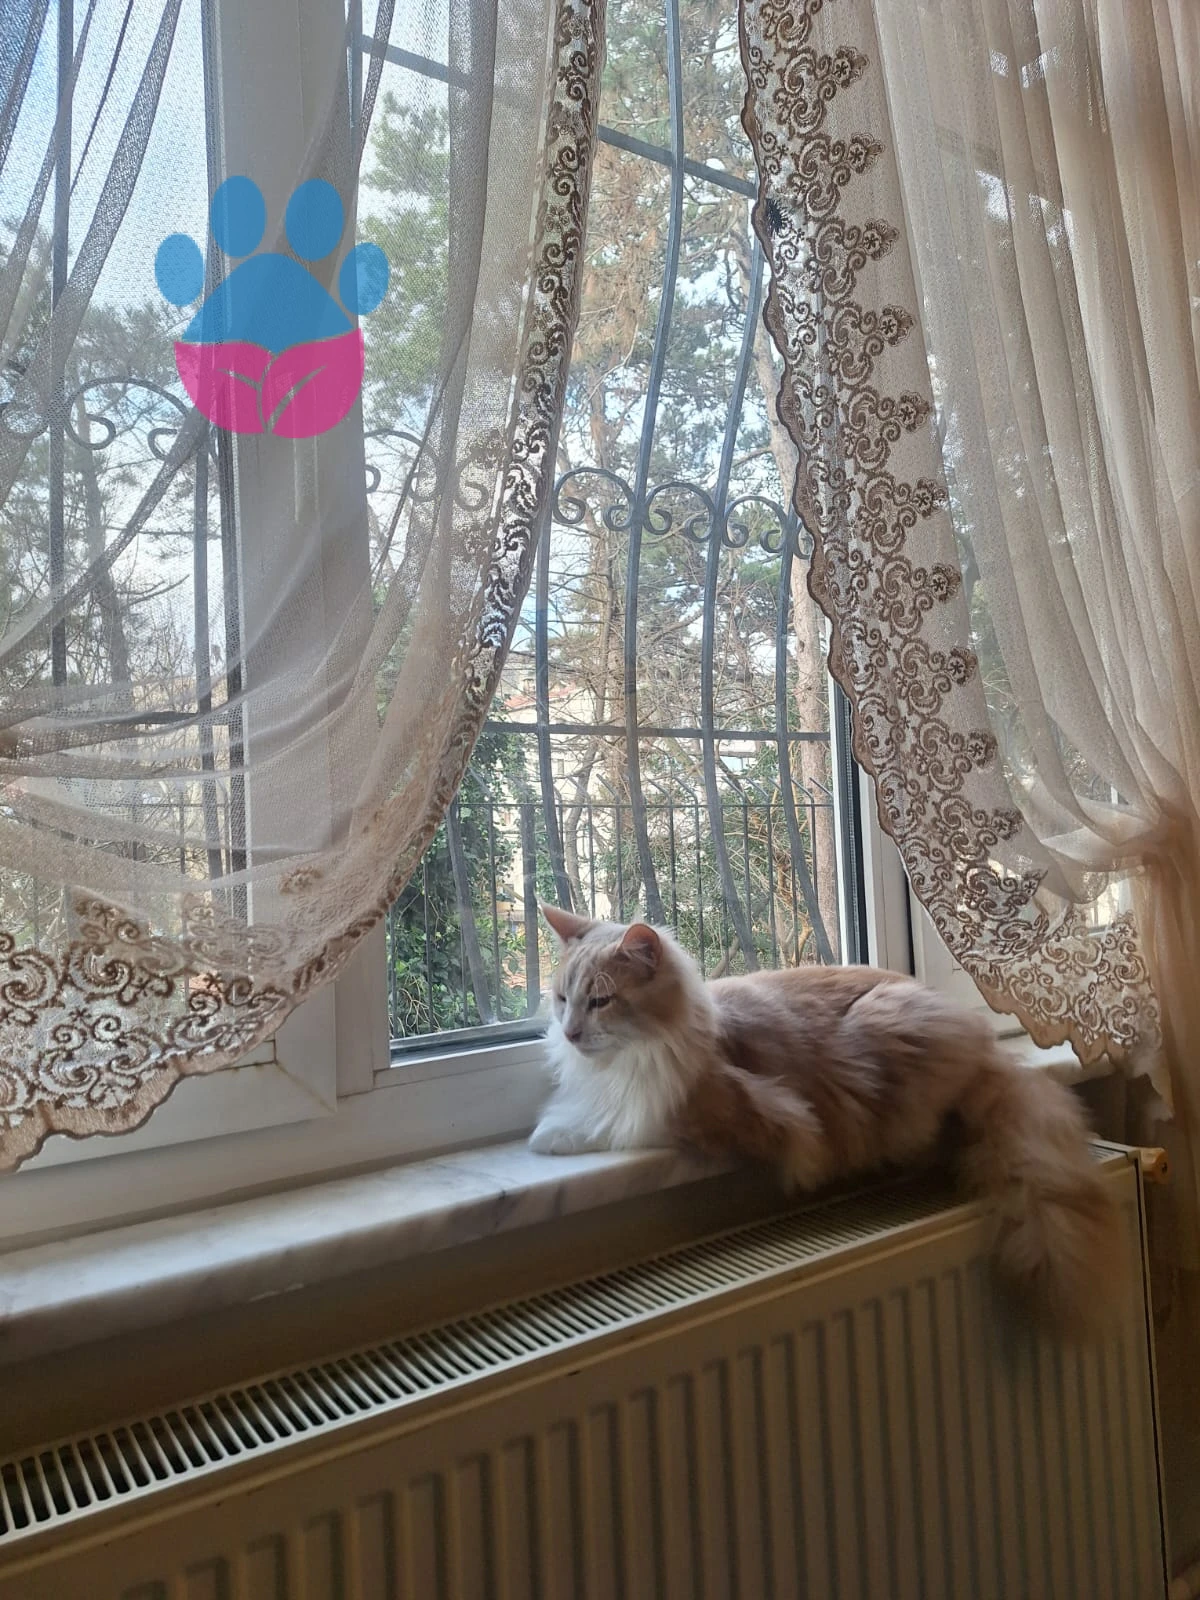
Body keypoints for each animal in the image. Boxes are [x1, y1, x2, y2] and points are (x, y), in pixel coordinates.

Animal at [530, 904, 1120, 1333]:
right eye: (562, 999)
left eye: (601, 1001)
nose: (570, 1033)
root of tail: (986, 1048)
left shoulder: (713, 1105)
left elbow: (621, 1120)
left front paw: (550, 1136)